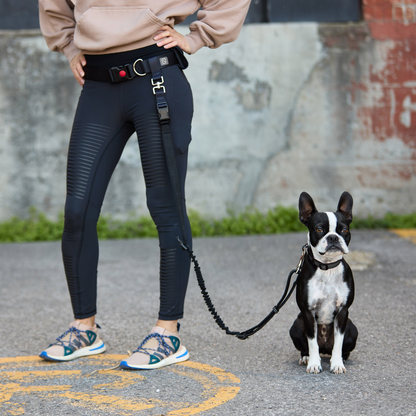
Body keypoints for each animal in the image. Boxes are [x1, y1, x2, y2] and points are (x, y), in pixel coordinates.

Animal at [290, 192, 358, 374]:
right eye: (319, 229)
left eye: (344, 230)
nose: (333, 237)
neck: (327, 268)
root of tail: (325, 349)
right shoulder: (308, 312)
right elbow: (312, 342)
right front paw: (314, 364)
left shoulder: (343, 312)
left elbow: (339, 343)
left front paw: (337, 364)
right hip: (296, 324)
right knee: (308, 346)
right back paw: (306, 357)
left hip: (352, 328)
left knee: (341, 348)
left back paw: (341, 358)